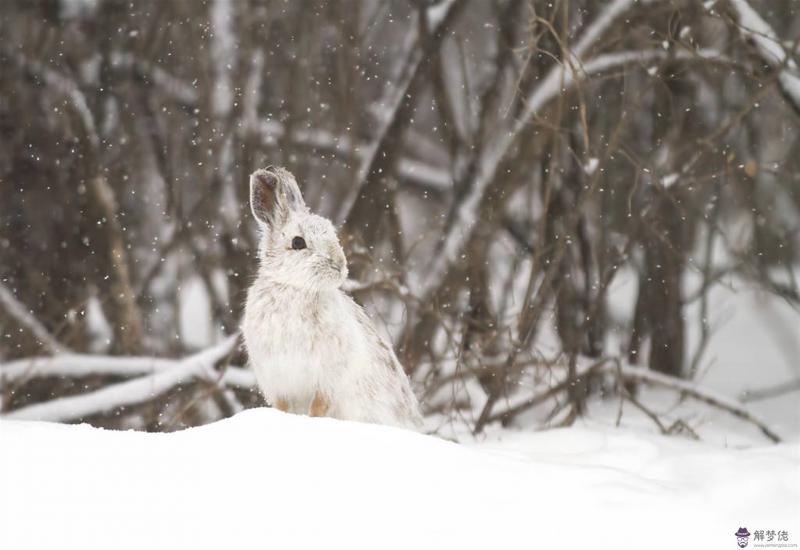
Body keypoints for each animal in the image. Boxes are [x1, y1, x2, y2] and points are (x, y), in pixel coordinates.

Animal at [241, 165, 422, 432]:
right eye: (298, 242)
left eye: (332, 235)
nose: (340, 265)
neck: (296, 288)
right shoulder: (278, 379)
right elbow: (283, 407)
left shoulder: (327, 380)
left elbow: (319, 406)